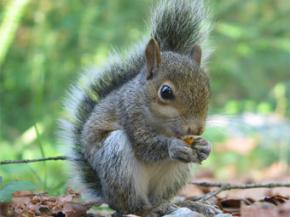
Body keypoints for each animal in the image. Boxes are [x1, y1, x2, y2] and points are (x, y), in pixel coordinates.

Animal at [59, 0, 213, 216]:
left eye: (207, 86)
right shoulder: (130, 114)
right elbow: (144, 146)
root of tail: (107, 195)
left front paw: (205, 146)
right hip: (117, 162)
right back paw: (148, 210)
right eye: (166, 92)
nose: (196, 129)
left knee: (161, 199)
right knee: (132, 206)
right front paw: (173, 147)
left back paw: (181, 205)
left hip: (176, 175)